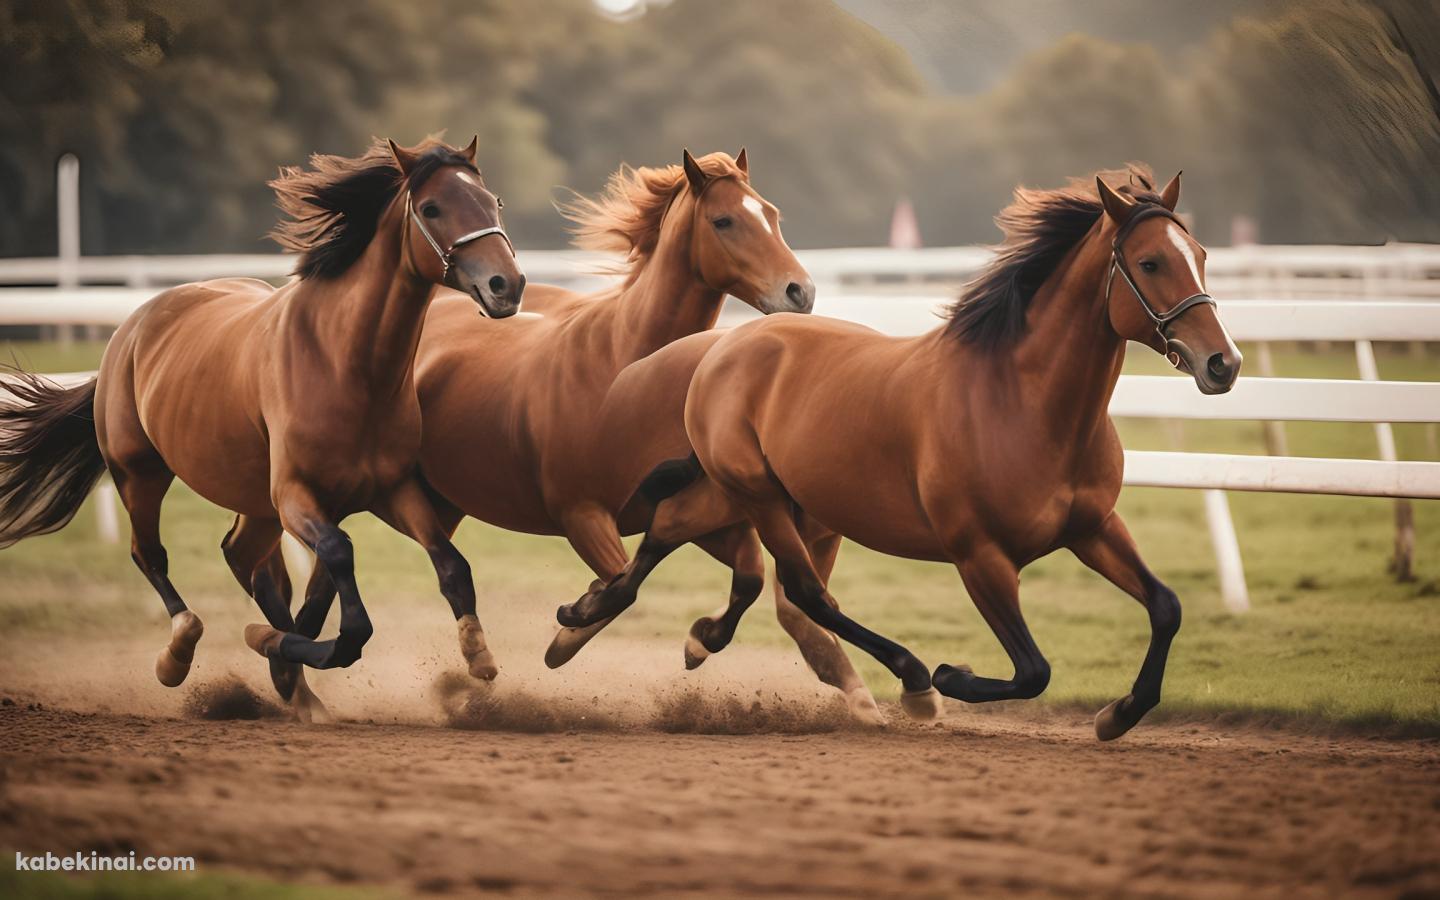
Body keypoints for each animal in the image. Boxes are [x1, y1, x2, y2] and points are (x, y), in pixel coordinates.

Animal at [0, 136, 524, 720]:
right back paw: (179, 653)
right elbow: (346, 595)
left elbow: (449, 565)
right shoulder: (295, 495)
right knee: (151, 555)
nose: (507, 285)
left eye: (494, 202)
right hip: (139, 471)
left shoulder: (388, 489)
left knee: (246, 559)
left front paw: (478, 658)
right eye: (432, 208)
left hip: (252, 501)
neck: (346, 362)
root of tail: (131, 327)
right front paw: (271, 645)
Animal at [555, 167, 1244, 737]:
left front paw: (1119, 714)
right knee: (804, 592)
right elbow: (1033, 670)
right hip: (762, 496)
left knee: (673, 532)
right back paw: (911, 678)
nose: (1224, 363)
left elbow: (1166, 607)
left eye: (1201, 255)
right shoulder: (980, 556)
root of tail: (722, 349)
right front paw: (948, 677)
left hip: (742, 494)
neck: (1024, 405)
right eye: (1150, 262)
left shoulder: (1094, 527)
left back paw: (608, 619)